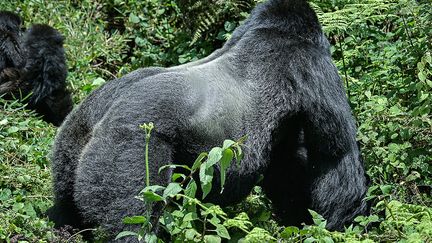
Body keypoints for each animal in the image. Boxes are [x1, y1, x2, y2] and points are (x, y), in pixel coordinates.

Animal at [49, 0, 368, 239]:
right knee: (134, 217)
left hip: (71, 139)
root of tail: (96, 114)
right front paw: (341, 225)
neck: (267, 30)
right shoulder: (312, 65)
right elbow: (336, 155)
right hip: (128, 145)